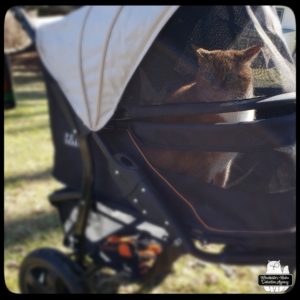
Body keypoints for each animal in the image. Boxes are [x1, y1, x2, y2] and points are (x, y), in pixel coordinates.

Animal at [143, 44, 260, 188]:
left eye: (229, 77)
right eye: (209, 76)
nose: (216, 89)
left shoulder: (224, 166)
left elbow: (222, 183)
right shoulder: (202, 169)